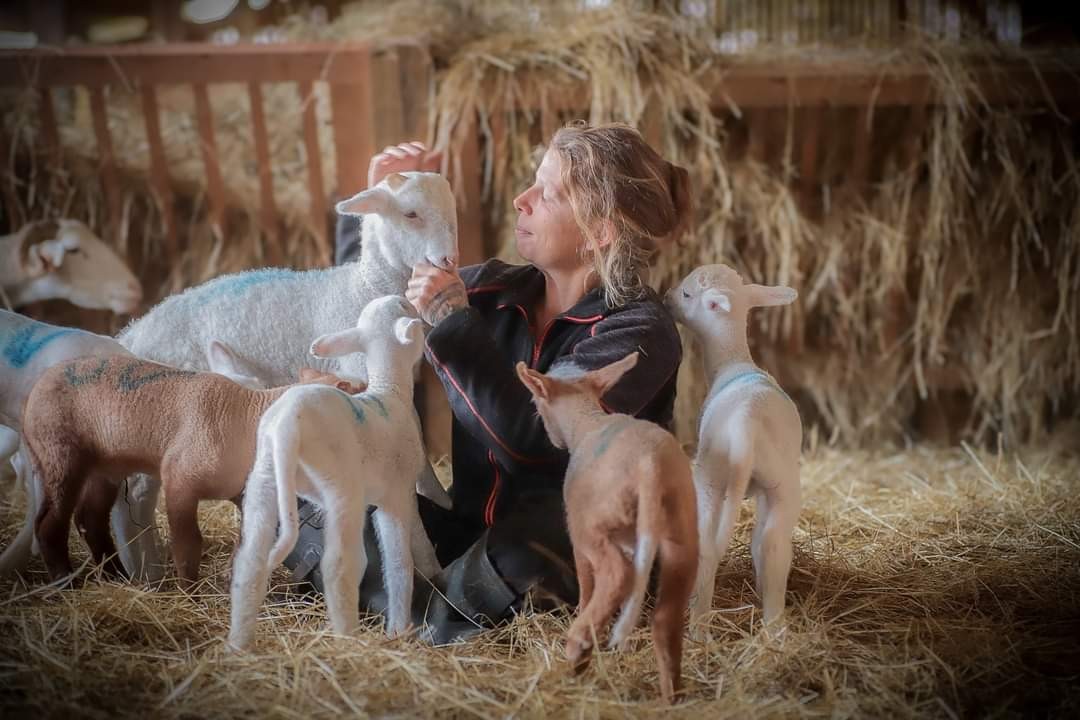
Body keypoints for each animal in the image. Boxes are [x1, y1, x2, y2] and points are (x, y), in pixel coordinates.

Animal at [231, 295, 438, 651]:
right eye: (405, 308)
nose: (410, 301)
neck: (389, 389)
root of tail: (288, 425)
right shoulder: (397, 494)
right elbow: (402, 560)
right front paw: (401, 627)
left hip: (263, 480)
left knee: (250, 562)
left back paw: (238, 645)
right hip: (341, 489)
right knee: (338, 566)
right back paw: (349, 642)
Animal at [516, 354, 699, 703]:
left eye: (535, 405)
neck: (586, 423)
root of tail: (649, 465)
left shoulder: (578, 538)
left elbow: (586, 585)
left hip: (594, 528)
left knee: (616, 576)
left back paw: (578, 647)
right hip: (680, 531)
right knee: (665, 619)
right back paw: (670, 697)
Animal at [660, 264, 807, 634]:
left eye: (687, 293)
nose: (666, 297)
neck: (732, 361)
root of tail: (746, 423)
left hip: (711, 479)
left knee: (707, 550)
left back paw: (698, 628)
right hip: (783, 485)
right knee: (772, 545)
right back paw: (774, 628)